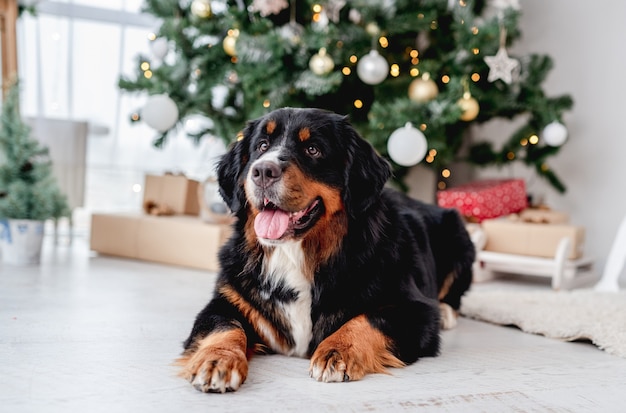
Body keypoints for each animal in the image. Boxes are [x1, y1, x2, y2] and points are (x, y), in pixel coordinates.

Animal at [176, 108, 472, 392]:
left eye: (313, 149)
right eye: (261, 146)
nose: (262, 171)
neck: (296, 255)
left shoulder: (415, 310)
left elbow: (367, 319)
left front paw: (337, 350)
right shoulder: (227, 300)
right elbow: (224, 327)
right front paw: (216, 360)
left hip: (459, 235)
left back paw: (447, 312)